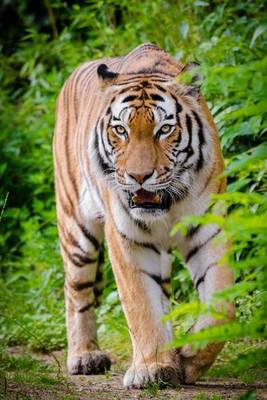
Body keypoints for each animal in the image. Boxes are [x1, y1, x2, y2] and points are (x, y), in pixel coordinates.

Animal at [53, 43, 236, 388]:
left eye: (164, 129)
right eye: (120, 130)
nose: (138, 176)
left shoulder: (208, 230)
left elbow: (221, 306)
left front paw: (187, 359)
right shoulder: (128, 239)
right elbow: (141, 305)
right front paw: (152, 368)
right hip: (76, 228)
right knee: (77, 291)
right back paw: (85, 357)